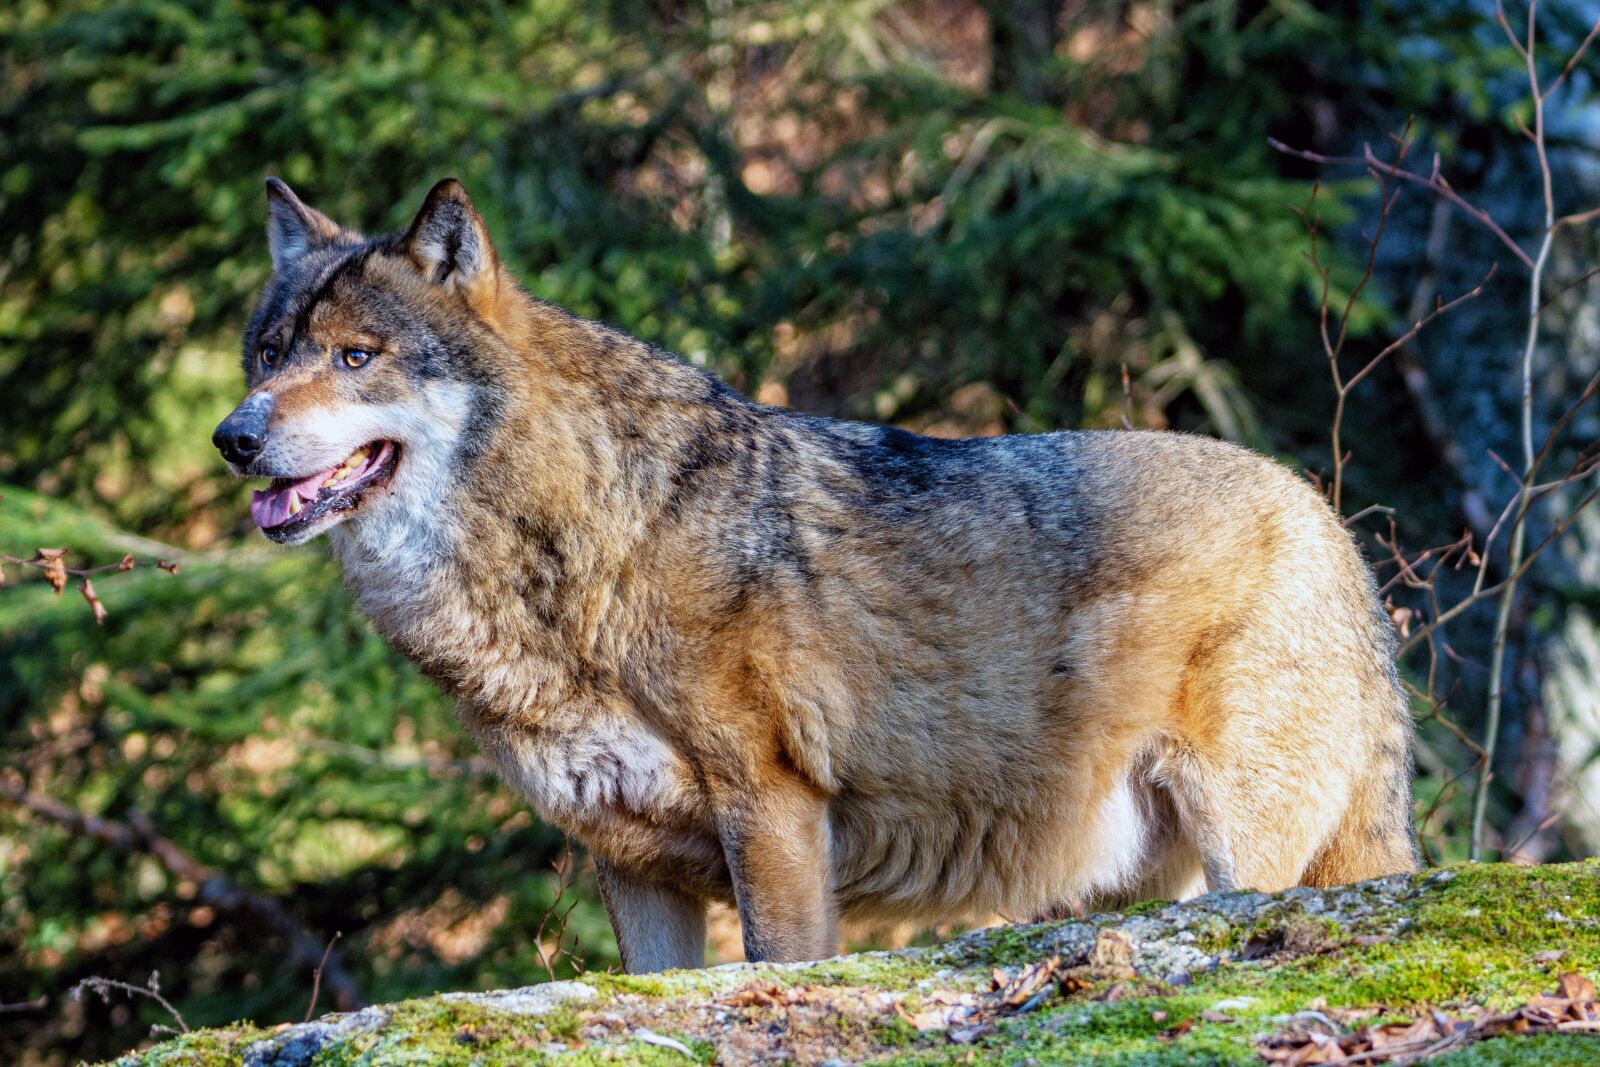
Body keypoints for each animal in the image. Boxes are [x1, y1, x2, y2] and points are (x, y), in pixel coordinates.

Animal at [213, 177, 1418, 972]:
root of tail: (1326, 517)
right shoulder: (630, 860)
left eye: (356, 357)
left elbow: (777, 962)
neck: (584, 540)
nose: (232, 436)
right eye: (268, 354)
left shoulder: (775, 809)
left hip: (1242, 854)